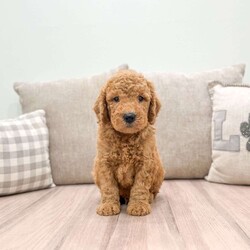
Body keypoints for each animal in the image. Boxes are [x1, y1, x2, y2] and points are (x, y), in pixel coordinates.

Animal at [93, 69, 165, 216]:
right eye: (116, 99)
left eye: (141, 98)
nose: (129, 116)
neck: (126, 137)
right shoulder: (104, 162)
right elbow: (108, 186)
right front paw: (108, 205)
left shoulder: (146, 162)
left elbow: (140, 186)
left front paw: (138, 206)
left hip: (159, 171)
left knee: (153, 191)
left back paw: (148, 197)